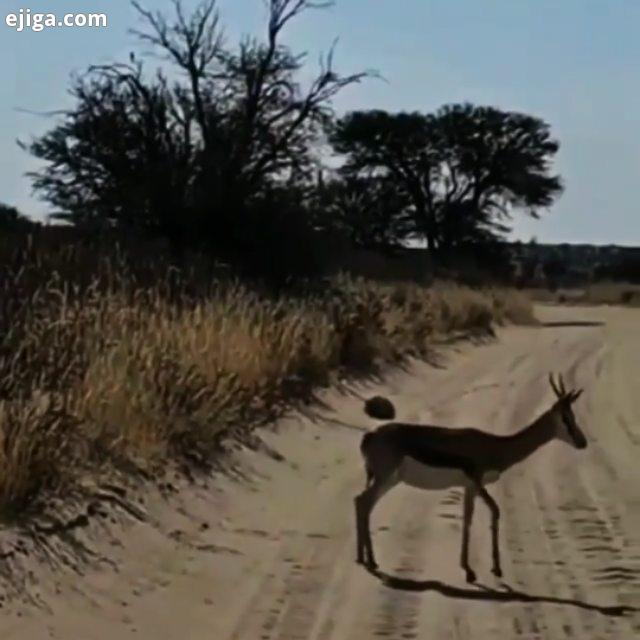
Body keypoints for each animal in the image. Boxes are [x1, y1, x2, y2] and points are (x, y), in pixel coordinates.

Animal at [356, 372, 584, 584]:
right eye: (566, 418)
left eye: (573, 415)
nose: (583, 442)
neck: (496, 446)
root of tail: (369, 436)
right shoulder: (477, 481)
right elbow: (495, 511)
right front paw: (495, 570)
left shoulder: (469, 487)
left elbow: (467, 519)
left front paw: (468, 570)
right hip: (385, 478)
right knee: (363, 501)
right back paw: (370, 561)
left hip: (389, 480)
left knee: (362, 502)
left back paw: (363, 559)